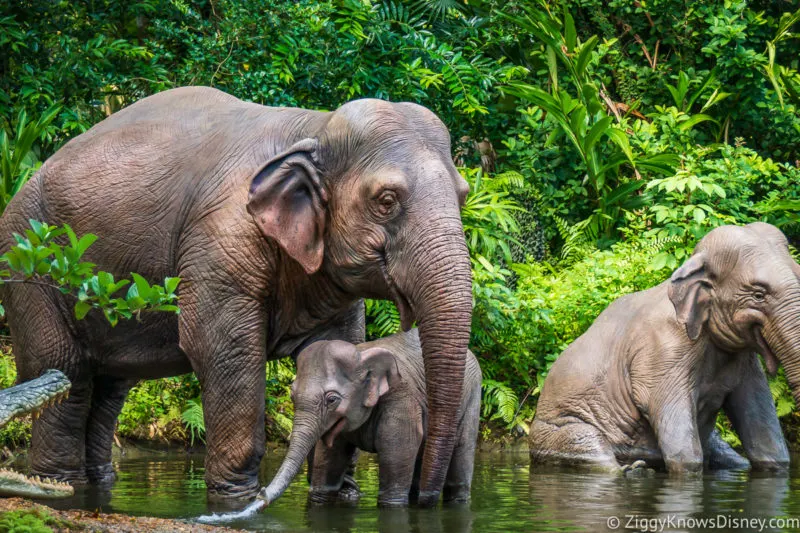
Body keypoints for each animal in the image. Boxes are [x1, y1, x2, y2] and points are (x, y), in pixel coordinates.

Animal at [260, 328, 482, 508]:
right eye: (292, 395)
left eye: (332, 399)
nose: (261, 494)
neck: (362, 354)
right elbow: (326, 477)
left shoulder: (401, 400)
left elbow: (392, 489)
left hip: (473, 397)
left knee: (462, 451)